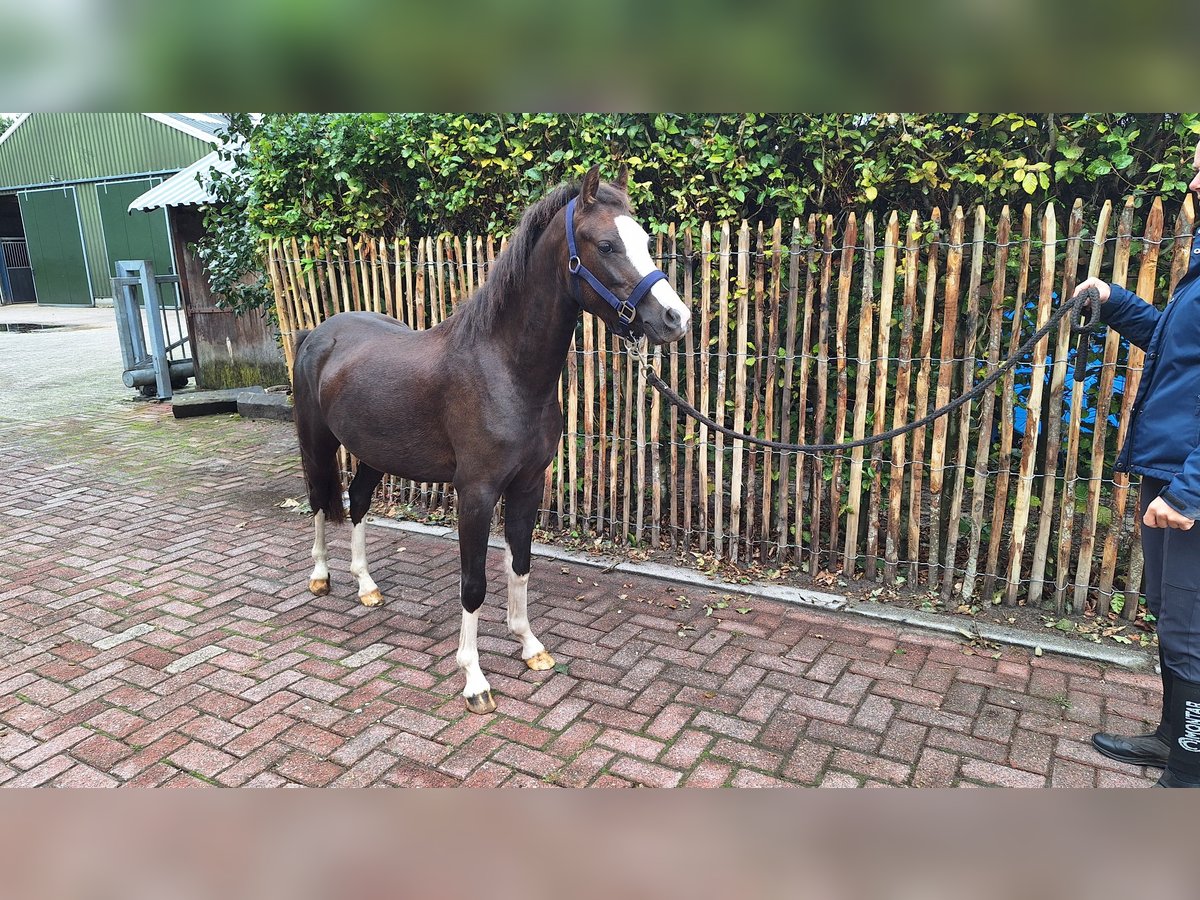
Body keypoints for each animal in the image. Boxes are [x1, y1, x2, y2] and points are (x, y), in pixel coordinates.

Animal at [291, 166, 691, 713]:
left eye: (647, 242)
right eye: (607, 244)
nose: (676, 319)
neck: (504, 370)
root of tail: (317, 334)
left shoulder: (529, 485)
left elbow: (519, 566)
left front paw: (530, 647)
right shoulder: (476, 493)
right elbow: (474, 582)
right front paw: (474, 679)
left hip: (375, 453)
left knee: (358, 502)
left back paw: (367, 586)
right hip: (317, 444)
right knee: (317, 501)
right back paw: (320, 577)